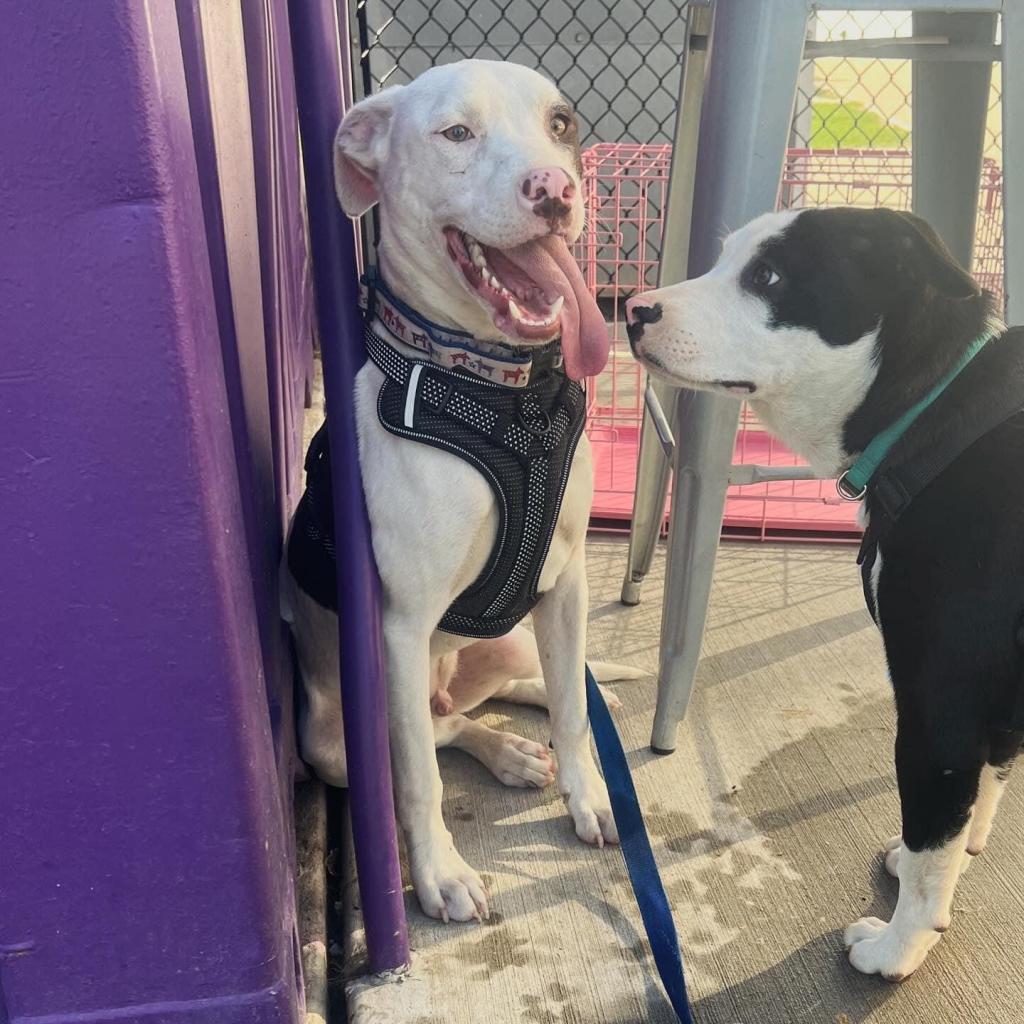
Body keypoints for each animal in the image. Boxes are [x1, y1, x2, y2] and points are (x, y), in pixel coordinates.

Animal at [282, 64, 630, 929]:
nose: (554, 189)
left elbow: (571, 706)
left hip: (505, 640)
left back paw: (542, 733)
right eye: (456, 134)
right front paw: (438, 874)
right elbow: (418, 780)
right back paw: (505, 754)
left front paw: (588, 793)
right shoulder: (401, 628)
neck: (501, 393)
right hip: (339, 741)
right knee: (443, 733)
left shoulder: (566, 585)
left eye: (561, 122)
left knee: (517, 690)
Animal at [622, 203, 1024, 978]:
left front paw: (899, 947)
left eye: (770, 277)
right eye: (725, 258)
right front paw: (961, 856)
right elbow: (975, 802)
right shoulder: (989, 714)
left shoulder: (939, 716)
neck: (933, 411)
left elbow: (930, 849)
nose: (632, 310)